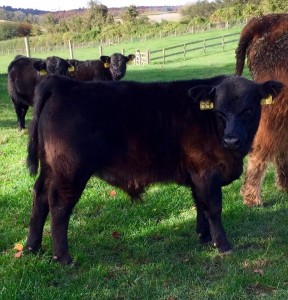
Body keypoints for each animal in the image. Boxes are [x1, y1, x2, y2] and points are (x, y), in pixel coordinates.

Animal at [25, 74, 282, 264]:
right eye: (218, 110)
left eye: (249, 109)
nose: (231, 140)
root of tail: (64, 83)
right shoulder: (206, 172)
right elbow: (214, 207)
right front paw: (223, 244)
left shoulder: (196, 174)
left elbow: (200, 204)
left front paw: (204, 236)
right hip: (70, 172)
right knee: (59, 205)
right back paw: (63, 257)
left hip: (50, 169)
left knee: (40, 197)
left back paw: (32, 247)